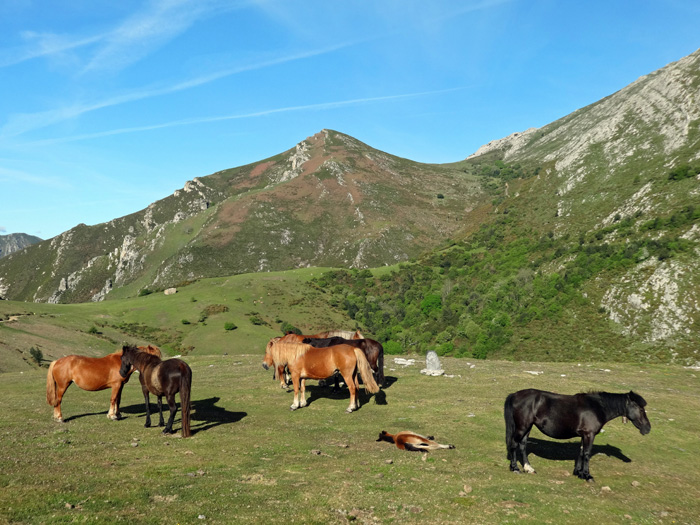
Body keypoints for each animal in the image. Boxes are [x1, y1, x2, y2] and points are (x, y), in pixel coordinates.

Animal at [504, 386, 652, 482]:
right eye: (640, 408)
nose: (648, 428)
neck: (597, 407)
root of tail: (515, 395)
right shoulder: (589, 434)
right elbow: (586, 454)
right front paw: (587, 476)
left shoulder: (584, 435)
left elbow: (581, 451)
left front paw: (579, 473)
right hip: (522, 427)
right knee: (514, 444)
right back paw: (515, 468)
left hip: (527, 427)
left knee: (523, 446)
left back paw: (528, 468)